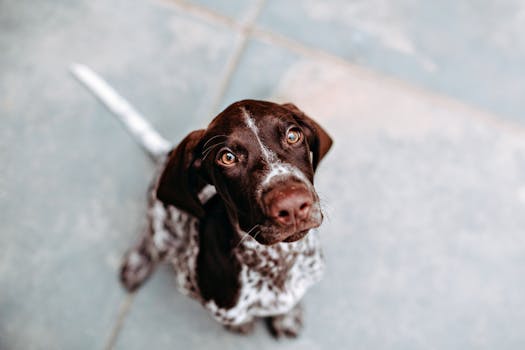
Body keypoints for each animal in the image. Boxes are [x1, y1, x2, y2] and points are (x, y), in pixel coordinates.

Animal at [120, 100, 332, 338]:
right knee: (150, 236)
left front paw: (287, 315)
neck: (278, 261)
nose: (292, 205)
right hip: (163, 231)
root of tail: (166, 154)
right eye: (227, 157)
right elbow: (237, 317)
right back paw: (137, 263)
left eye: (293, 135)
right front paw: (240, 324)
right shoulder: (190, 282)